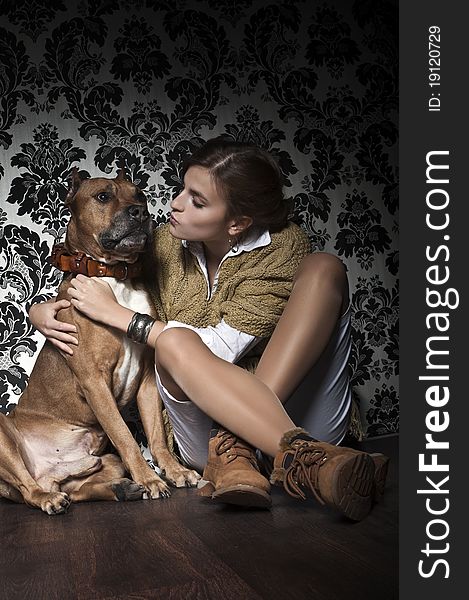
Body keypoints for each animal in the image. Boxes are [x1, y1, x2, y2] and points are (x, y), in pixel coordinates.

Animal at [0, 170, 199, 516]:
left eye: (140, 194)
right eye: (103, 197)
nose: (140, 212)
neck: (114, 275)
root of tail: (46, 474)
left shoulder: (147, 381)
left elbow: (156, 436)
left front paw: (174, 471)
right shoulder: (95, 382)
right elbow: (125, 435)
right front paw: (150, 479)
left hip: (102, 462)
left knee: (77, 489)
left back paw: (121, 489)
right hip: (3, 435)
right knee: (29, 489)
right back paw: (48, 498)